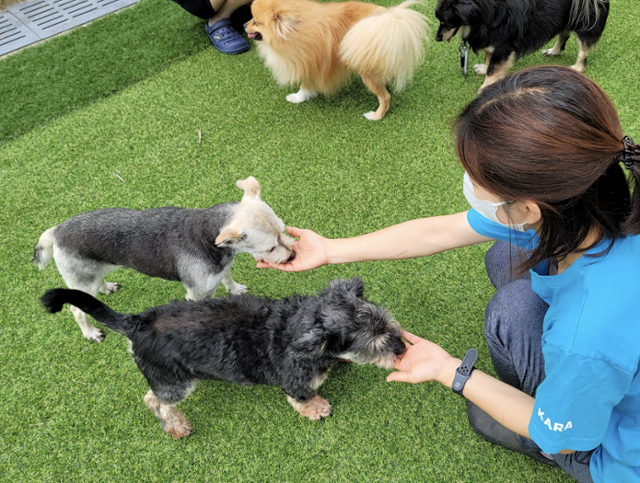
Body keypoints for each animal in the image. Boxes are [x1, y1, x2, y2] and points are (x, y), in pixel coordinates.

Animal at [32, 178, 296, 344]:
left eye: (283, 232)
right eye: (271, 247)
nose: (293, 255)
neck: (207, 237)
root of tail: (56, 231)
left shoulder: (222, 266)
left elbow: (227, 278)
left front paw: (235, 288)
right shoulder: (196, 294)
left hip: (90, 276)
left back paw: (107, 287)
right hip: (82, 282)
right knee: (77, 310)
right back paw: (90, 332)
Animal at [40, 276, 408, 438]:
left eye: (389, 324)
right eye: (376, 344)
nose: (403, 348)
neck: (301, 325)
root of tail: (137, 322)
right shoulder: (295, 381)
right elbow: (302, 397)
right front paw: (316, 408)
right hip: (176, 381)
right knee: (153, 399)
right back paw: (176, 426)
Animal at [245, 0, 430, 120]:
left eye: (256, 22)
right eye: (251, 18)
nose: (243, 25)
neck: (295, 31)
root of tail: (388, 19)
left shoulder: (311, 67)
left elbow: (304, 86)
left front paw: (297, 98)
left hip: (367, 72)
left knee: (385, 97)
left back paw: (375, 116)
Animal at [436, 0, 608, 91]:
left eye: (447, 23)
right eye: (440, 21)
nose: (437, 38)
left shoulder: (503, 48)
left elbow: (493, 70)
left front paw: (485, 87)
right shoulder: (492, 42)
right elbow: (488, 60)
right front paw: (483, 69)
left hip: (585, 22)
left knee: (583, 51)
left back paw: (577, 68)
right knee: (564, 33)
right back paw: (554, 51)